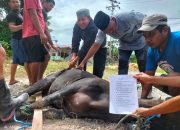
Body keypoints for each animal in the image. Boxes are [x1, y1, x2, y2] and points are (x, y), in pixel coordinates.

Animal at [19, 68, 180, 129]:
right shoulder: (78, 85)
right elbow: (46, 100)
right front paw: (21, 110)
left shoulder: (68, 112)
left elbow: (47, 111)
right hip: (47, 79)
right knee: (30, 90)